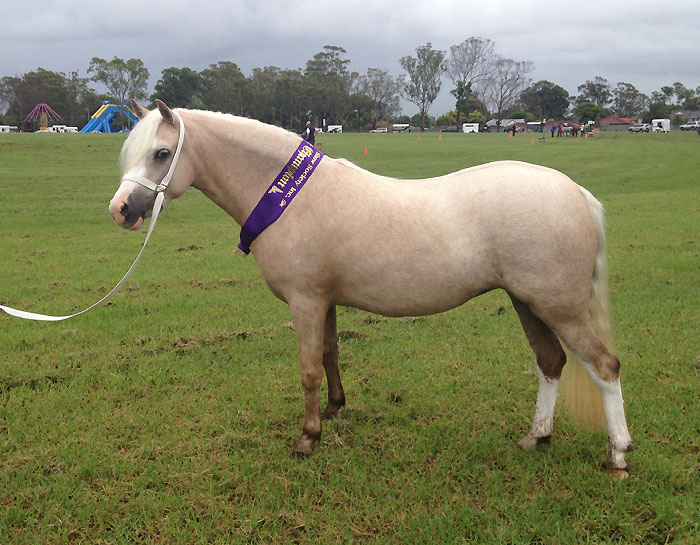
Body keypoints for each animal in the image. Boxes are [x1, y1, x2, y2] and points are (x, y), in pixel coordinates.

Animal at [109, 100, 632, 477]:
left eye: (160, 154)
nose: (121, 210)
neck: (291, 197)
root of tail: (576, 192)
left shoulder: (305, 302)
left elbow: (309, 370)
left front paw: (308, 438)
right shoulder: (325, 301)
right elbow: (331, 354)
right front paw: (336, 411)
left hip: (560, 307)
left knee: (604, 366)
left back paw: (618, 455)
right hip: (528, 303)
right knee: (551, 363)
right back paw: (536, 437)